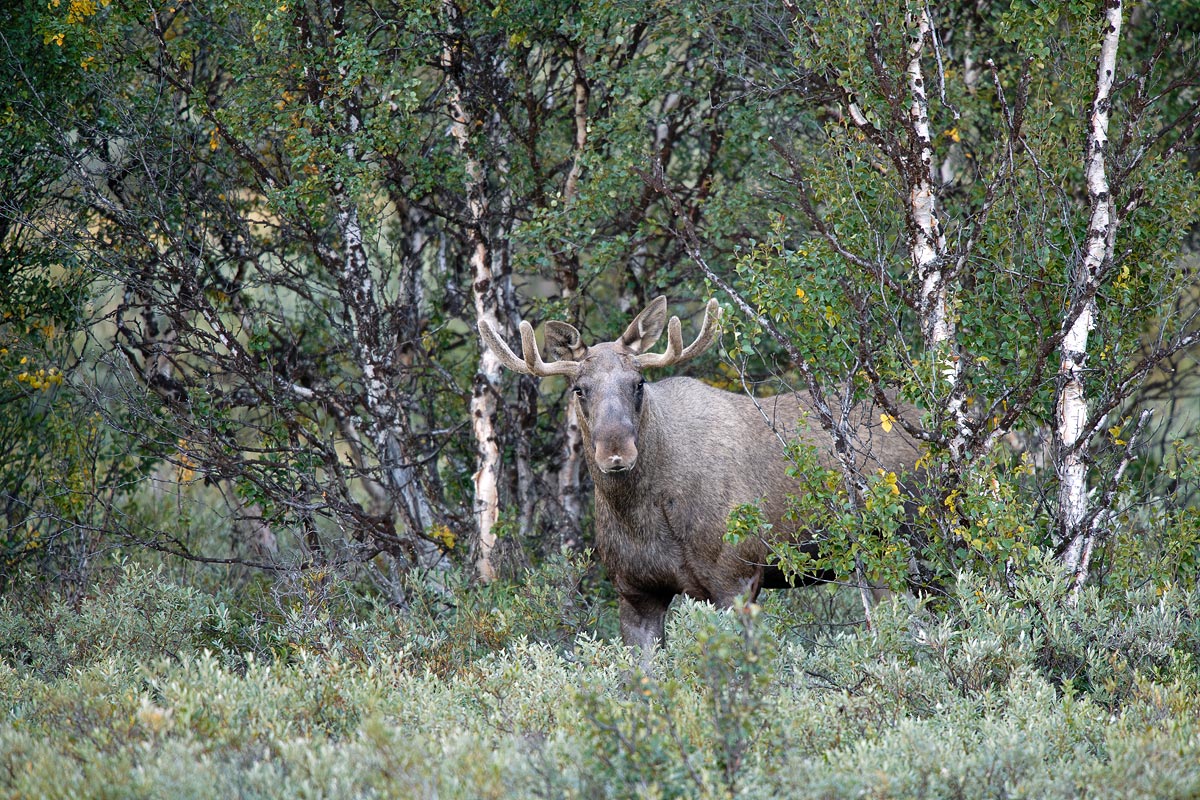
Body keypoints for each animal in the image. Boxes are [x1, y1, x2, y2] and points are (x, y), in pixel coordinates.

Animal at [477, 297, 916, 662]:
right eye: (579, 389)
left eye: (638, 383)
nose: (616, 453)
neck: (645, 517)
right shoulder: (635, 591)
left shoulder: (736, 576)